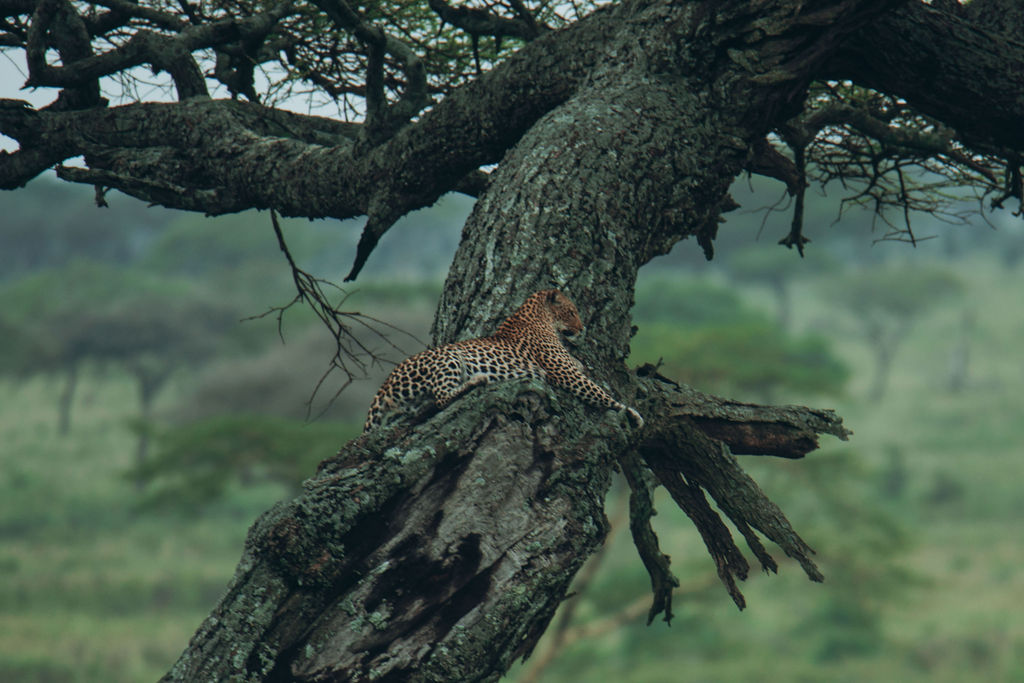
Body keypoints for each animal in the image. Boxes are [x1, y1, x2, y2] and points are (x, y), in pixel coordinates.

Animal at [363, 289, 644, 432]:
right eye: (572, 312)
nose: (582, 328)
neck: (539, 316)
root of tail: (385, 383)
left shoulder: (569, 368)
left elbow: (583, 369)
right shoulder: (566, 374)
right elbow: (599, 392)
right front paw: (631, 413)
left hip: (413, 401)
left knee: (430, 403)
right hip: (448, 356)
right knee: (442, 396)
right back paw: (476, 380)